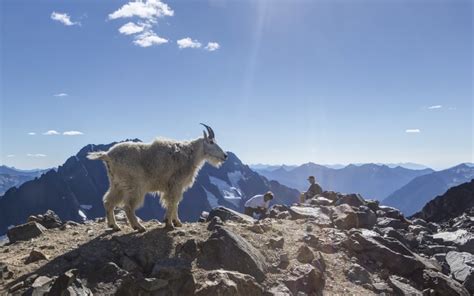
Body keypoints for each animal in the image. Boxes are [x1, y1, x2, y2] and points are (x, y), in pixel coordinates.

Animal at [87, 123, 228, 232]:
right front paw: (170, 224)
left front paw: (176, 222)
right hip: (134, 185)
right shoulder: (175, 184)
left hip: (117, 184)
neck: (190, 154)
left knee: (108, 201)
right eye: (211, 142)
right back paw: (138, 227)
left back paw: (114, 226)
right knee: (128, 206)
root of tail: (107, 155)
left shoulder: (173, 186)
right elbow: (173, 202)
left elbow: (174, 203)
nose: (225, 156)